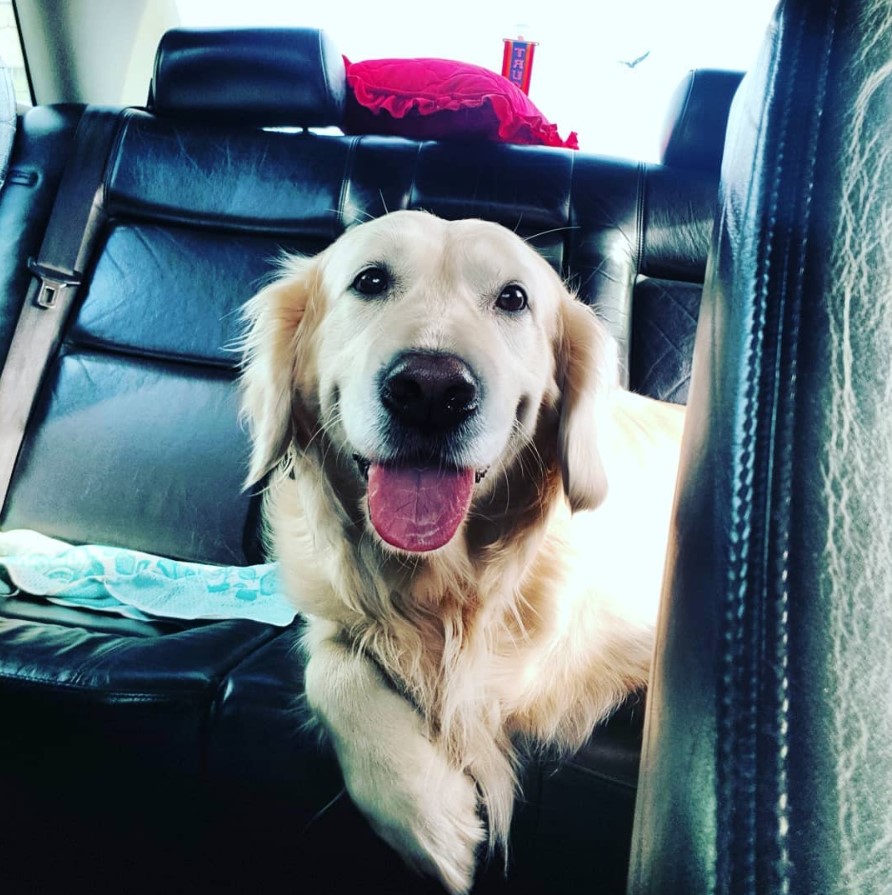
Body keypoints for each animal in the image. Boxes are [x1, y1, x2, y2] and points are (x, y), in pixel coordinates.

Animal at [237, 212, 684, 895]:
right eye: (370, 280)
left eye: (513, 298)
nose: (430, 389)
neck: (454, 586)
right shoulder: (331, 609)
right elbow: (328, 666)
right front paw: (427, 813)